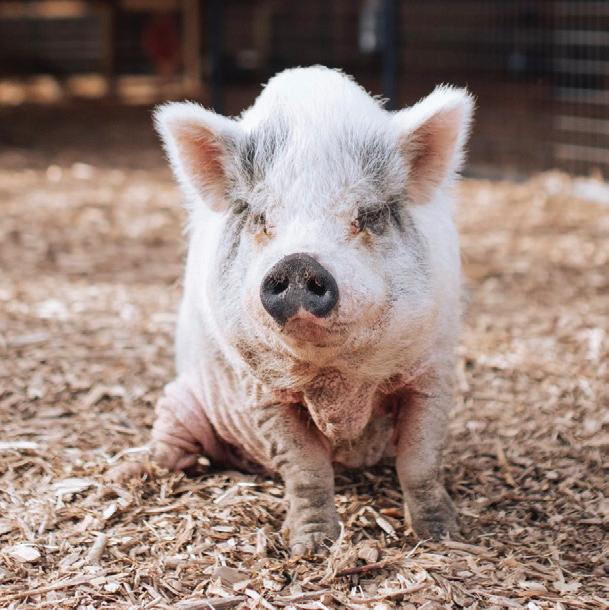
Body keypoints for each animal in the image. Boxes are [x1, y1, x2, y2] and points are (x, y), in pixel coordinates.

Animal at [140, 66, 473, 555]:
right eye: (261, 218)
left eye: (367, 214)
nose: (298, 263)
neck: (336, 386)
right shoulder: (262, 391)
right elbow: (306, 468)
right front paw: (311, 549)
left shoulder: (433, 371)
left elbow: (420, 459)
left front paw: (445, 536)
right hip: (179, 398)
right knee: (171, 448)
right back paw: (136, 469)